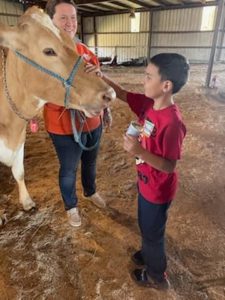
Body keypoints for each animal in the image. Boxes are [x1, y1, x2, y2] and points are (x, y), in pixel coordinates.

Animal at [0, 6, 116, 225]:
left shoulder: (20, 138)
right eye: (48, 50)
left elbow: (19, 171)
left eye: (72, 45)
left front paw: (27, 201)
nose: (110, 94)